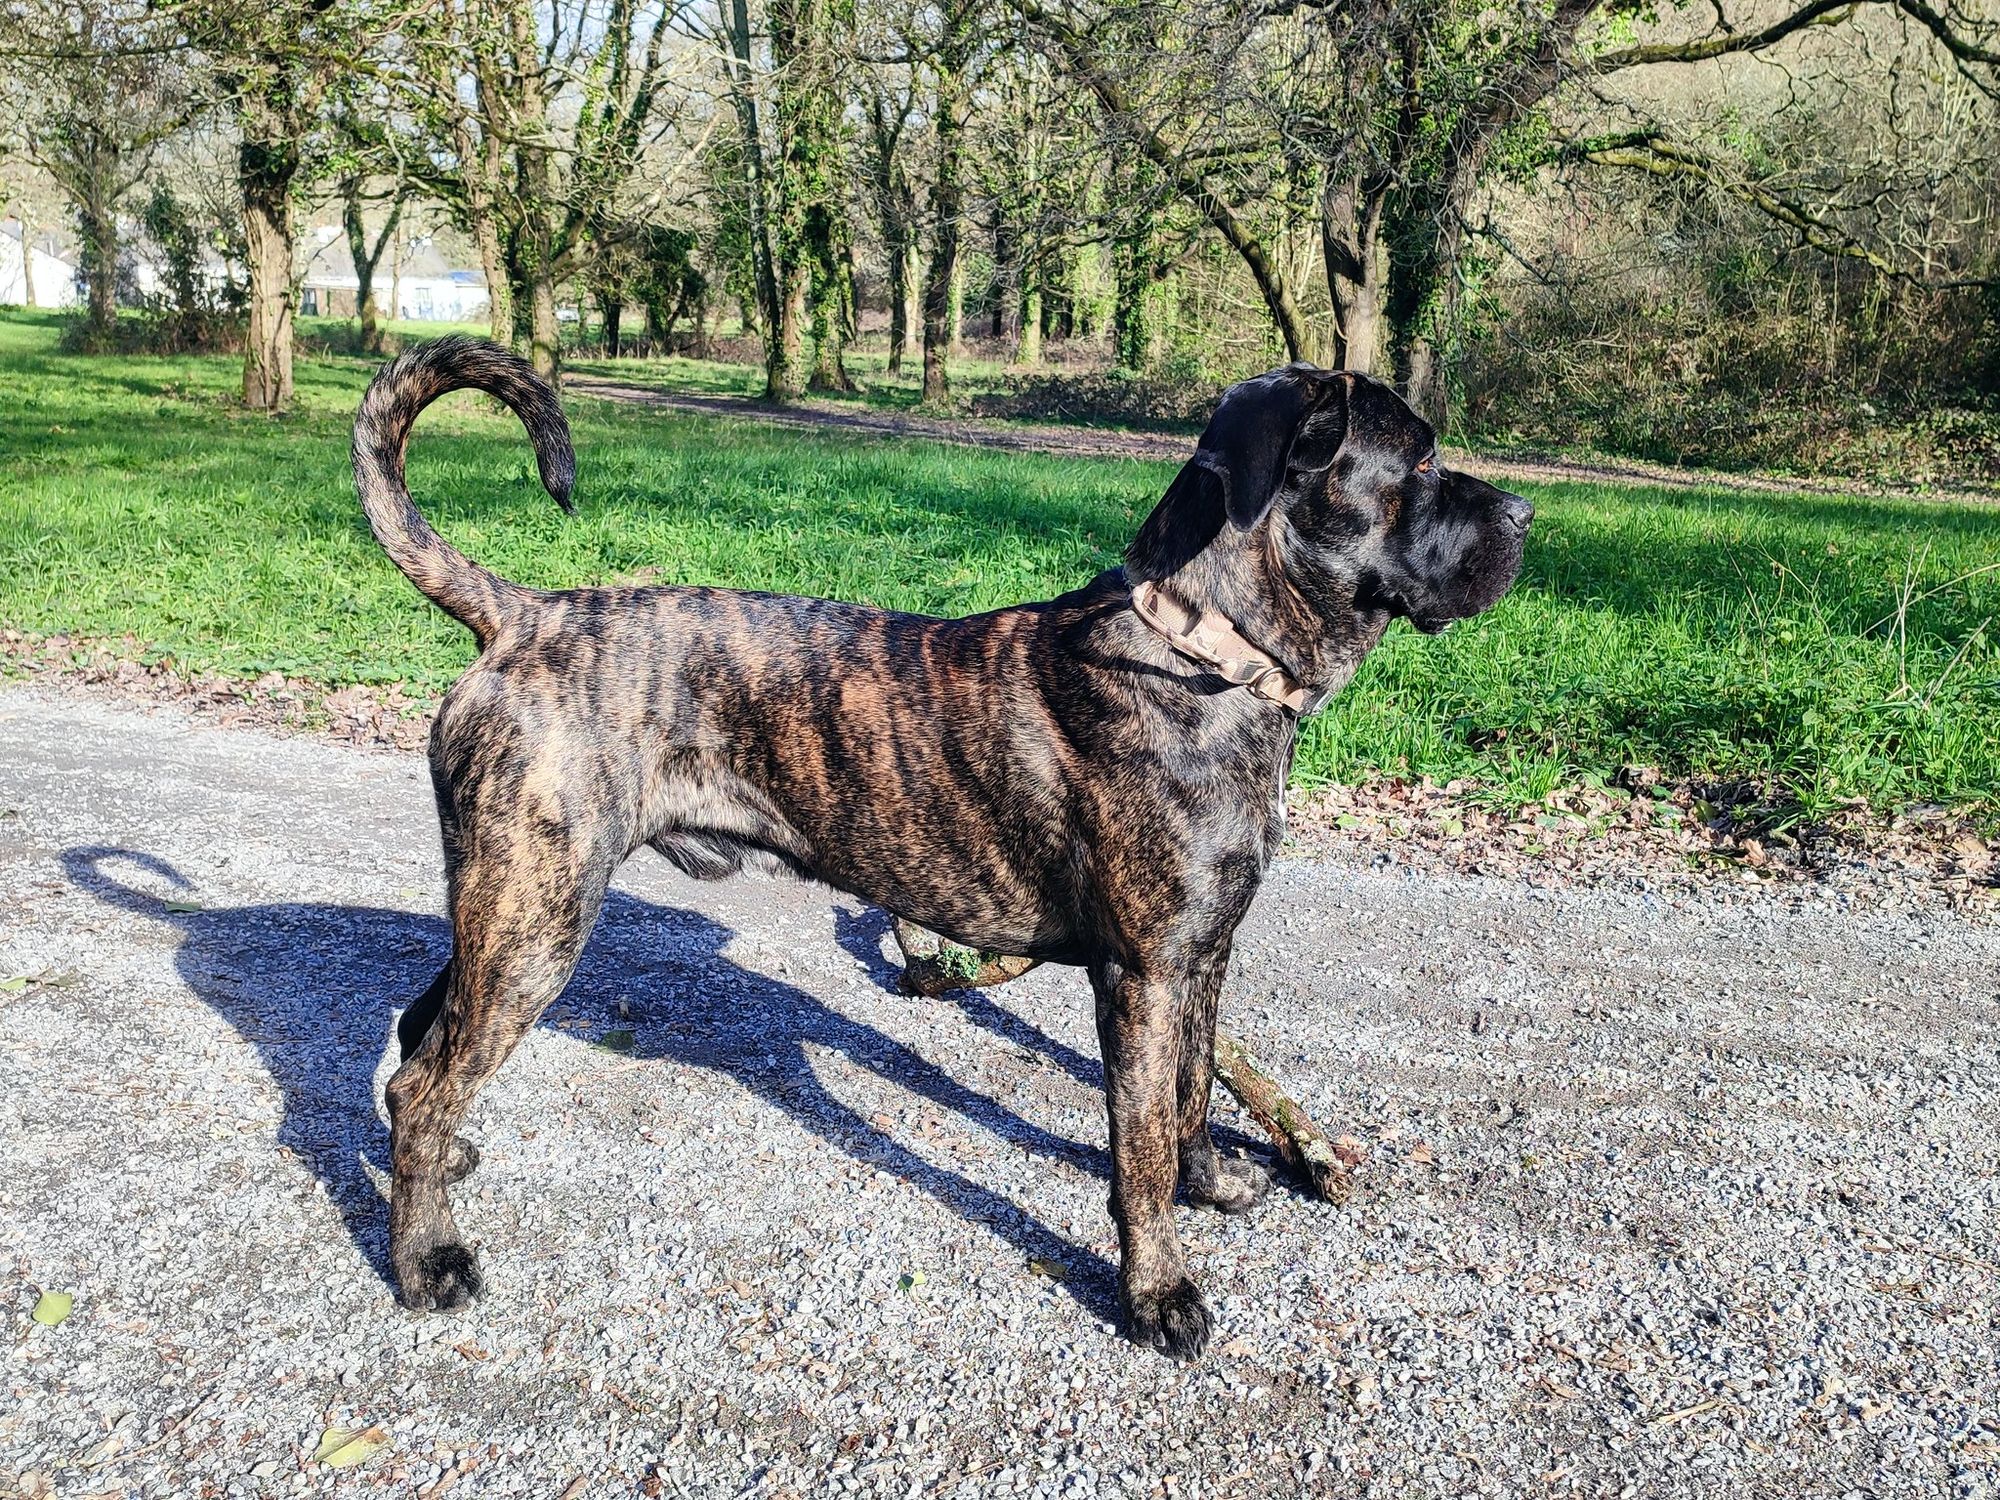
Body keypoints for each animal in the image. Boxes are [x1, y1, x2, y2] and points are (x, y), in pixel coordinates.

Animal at [356, 340, 1528, 1360]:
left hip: (509, 908)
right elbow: (1140, 1146)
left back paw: (441, 1165)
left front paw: (1210, 1179)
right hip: (536, 919)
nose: (1522, 510)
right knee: (428, 1076)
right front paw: (1158, 1292)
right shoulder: (1143, 975)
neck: (1200, 655)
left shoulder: (1200, 956)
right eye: (1421, 463)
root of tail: (524, 616)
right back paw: (426, 1258)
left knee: (422, 1036)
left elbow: (1193, 1090)